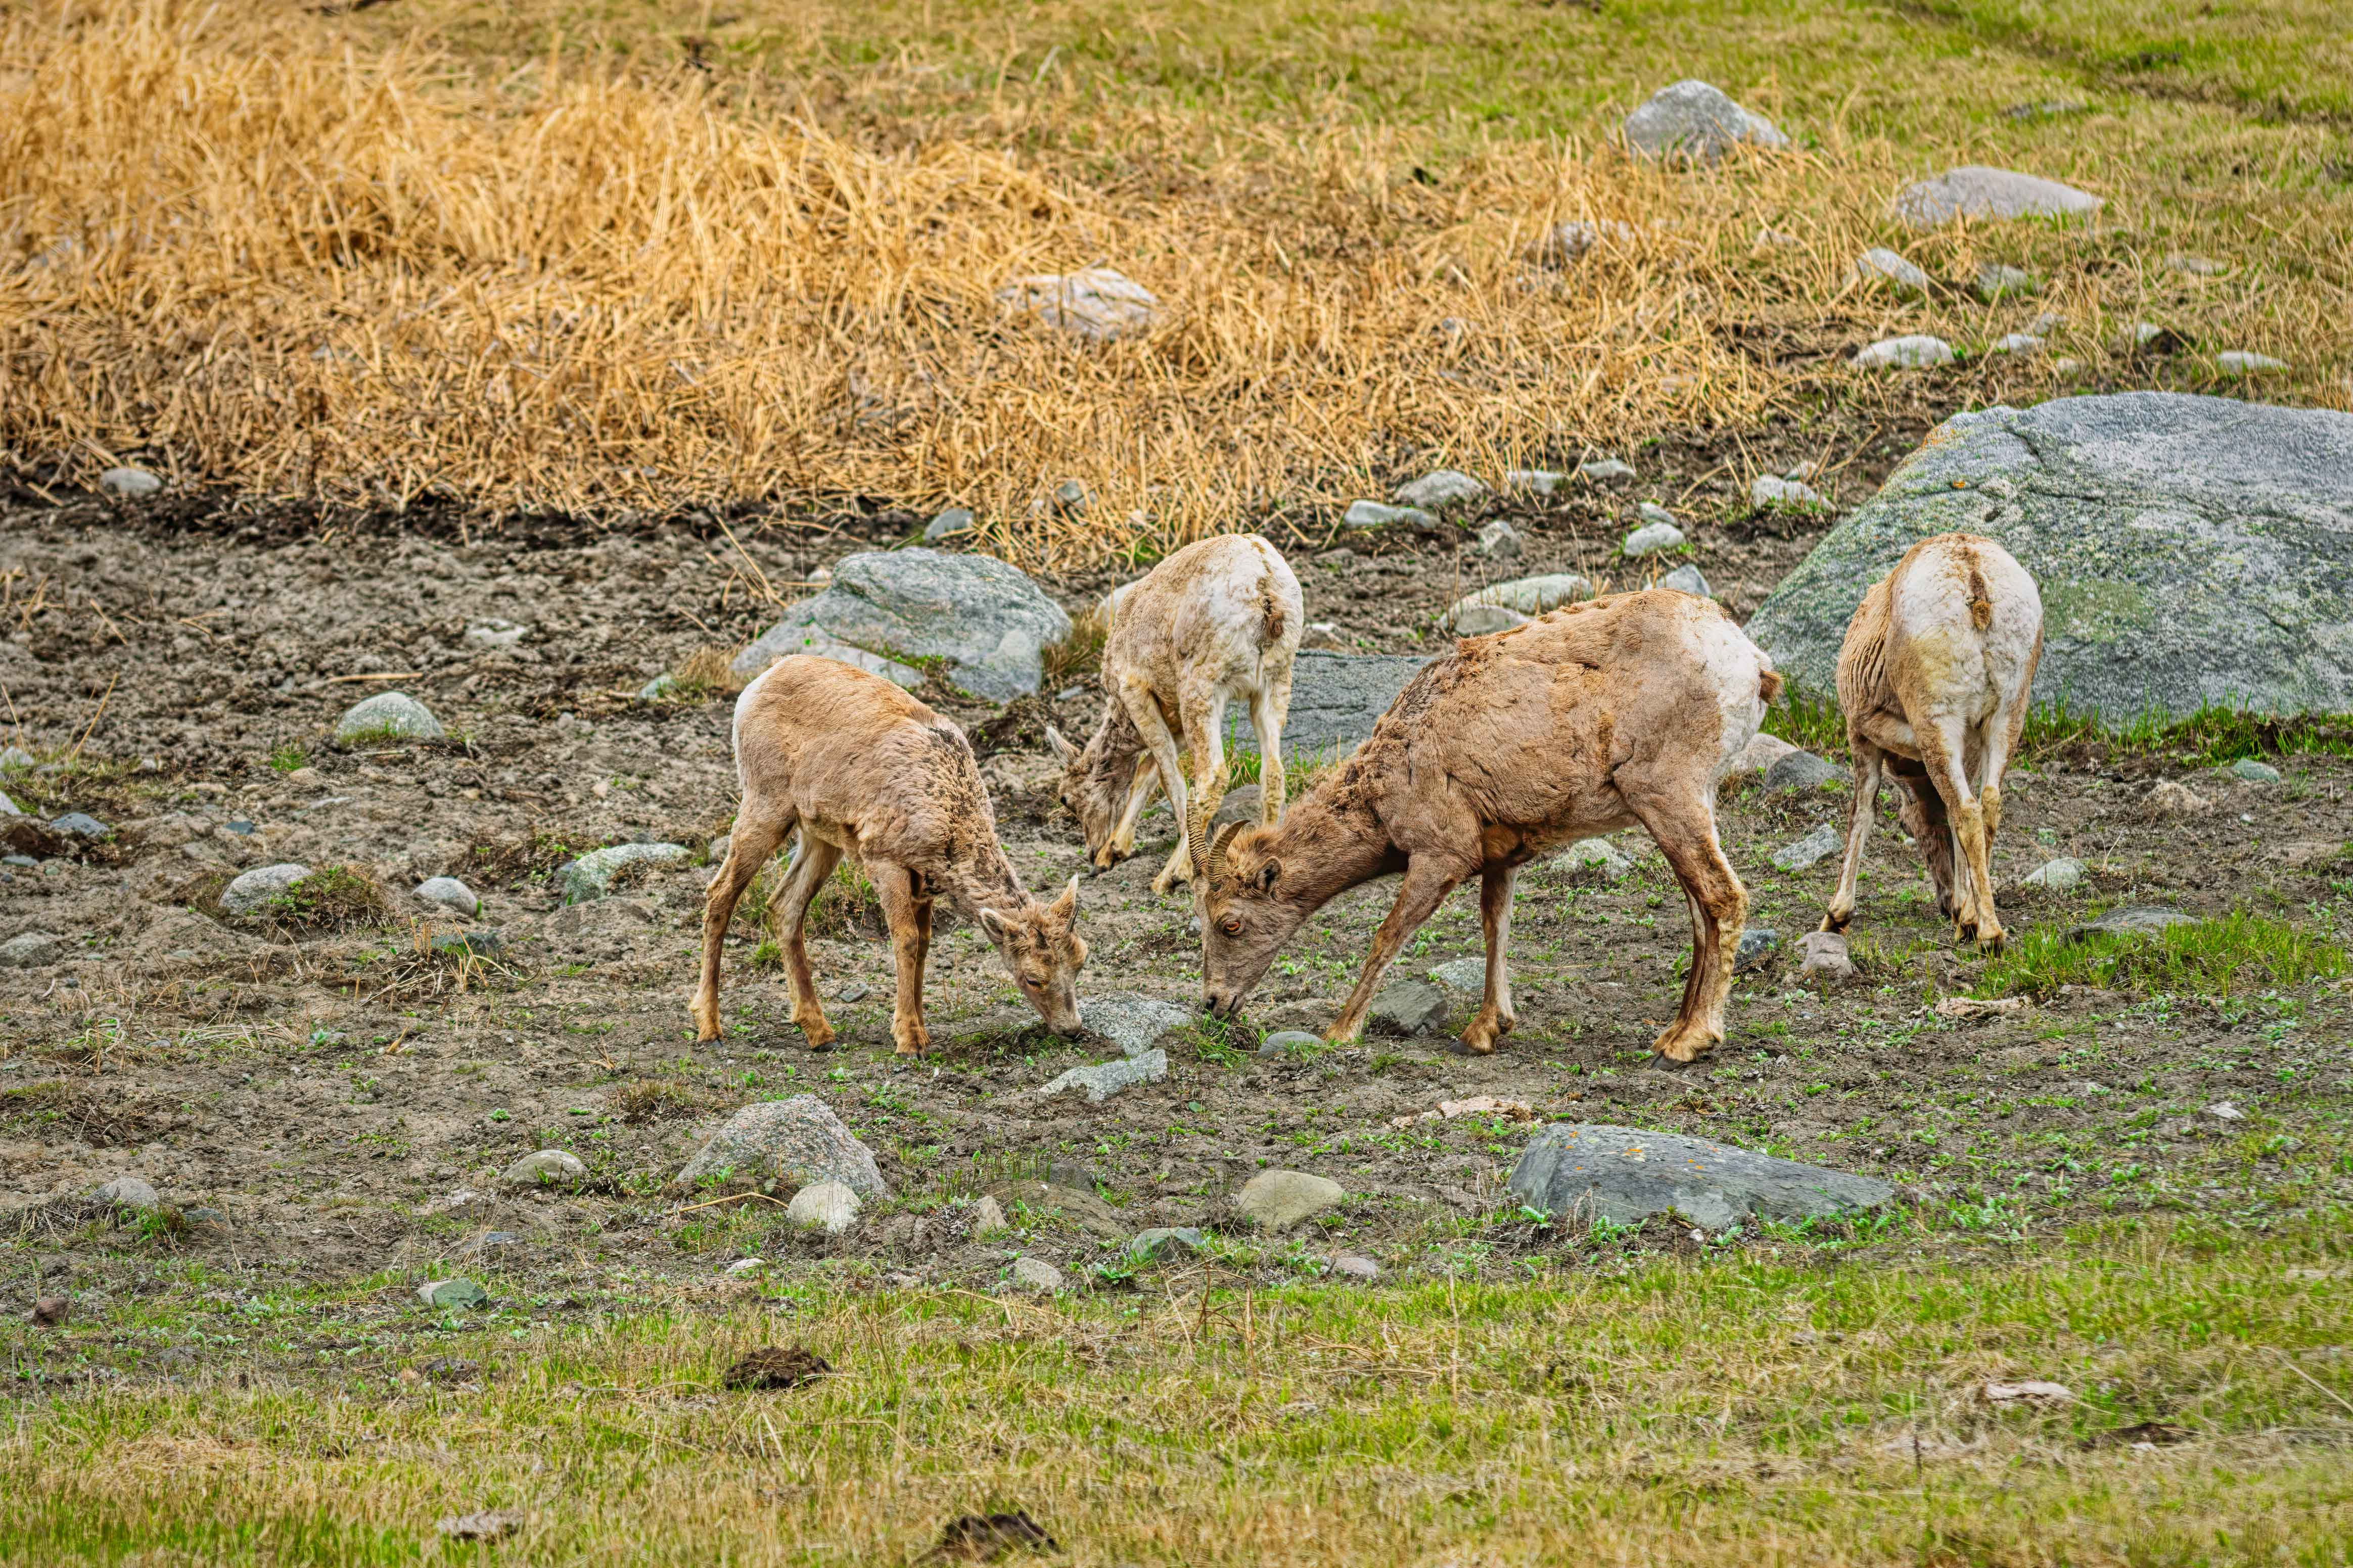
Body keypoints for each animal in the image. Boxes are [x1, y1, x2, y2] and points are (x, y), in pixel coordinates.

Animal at [692, 655, 1088, 1056]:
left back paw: (818, 1030)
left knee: (784, 905)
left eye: (1081, 959)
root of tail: (756, 684)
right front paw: (908, 1039)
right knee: (720, 892)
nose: (1072, 1029)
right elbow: (906, 939)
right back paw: (709, 1025)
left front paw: (923, 1030)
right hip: (765, 800)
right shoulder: (885, 857)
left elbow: (925, 943)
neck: (949, 818)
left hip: (821, 834)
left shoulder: (925, 881)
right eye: (1033, 978)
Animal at [1046, 534, 1302, 897]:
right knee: (1275, 772)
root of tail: (1266, 589)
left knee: (1213, 775)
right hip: (1276, 680)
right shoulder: (1172, 714)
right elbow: (1148, 769)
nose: (1092, 854)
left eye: (1065, 799)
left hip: (1203, 682)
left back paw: (1171, 874)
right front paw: (1115, 850)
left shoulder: (1135, 688)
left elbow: (1168, 776)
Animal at [1197, 590, 1780, 1063]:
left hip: (1668, 796)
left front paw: (1340, 1030)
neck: (1391, 773)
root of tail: (1750, 664)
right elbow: (1494, 926)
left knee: (1723, 897)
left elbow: (1388, 935)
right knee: (1700, 911)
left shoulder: (1441, 854)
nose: (1213, 1003)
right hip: (1689, 804)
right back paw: (1670, 1033)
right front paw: (1483, 1031)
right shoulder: (1502, 854)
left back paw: (1688, 1044)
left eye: (1230, 923)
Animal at [1821, 532, 2042, 949]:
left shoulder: (1860, 735)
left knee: (1966, 810)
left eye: (1907, 827)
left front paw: (1835, 917)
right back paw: (1973, 922)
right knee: (1985, 804)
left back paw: (1985, 932)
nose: (1944, 904)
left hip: (1938, 722)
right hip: (2006, 717)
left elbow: (1861, 812)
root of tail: (1972, 573)